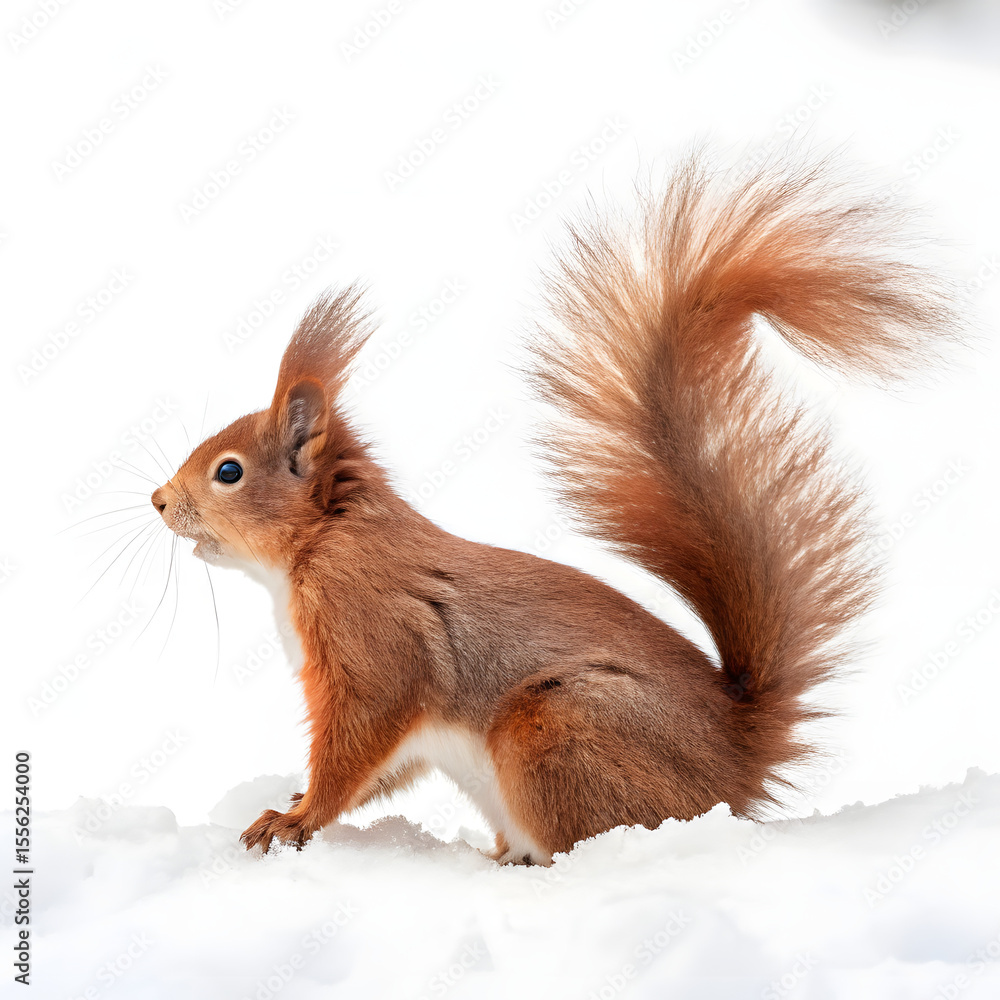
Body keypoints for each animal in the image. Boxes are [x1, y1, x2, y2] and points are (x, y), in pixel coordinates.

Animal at [151, 152, 958, 864]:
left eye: (228, 472)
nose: (158, 501)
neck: (323, 542)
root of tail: (734, 770)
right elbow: (388, 766)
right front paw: (291, 806)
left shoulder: (373, 634)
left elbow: (359, 742)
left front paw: (294, 821)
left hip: (555, 729)